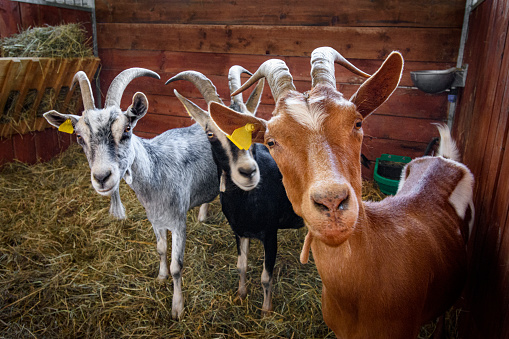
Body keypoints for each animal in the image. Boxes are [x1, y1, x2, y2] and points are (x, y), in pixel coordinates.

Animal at [43, 68, 218, 318]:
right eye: (79, 137)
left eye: (126, 129)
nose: (102, 177)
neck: (157, 170)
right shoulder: (155, 219)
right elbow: (160, 249)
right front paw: (160, 277)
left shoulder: (178, 222)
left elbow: (177, 266)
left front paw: (177, 308)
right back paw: (203, 215)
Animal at [167, 67, 304, 316]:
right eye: (210, 133)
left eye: (253, 128)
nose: (248, 172)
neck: (247, 203)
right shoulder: (239, 231)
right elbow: (241, 266)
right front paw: (241, 294)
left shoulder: (271, 234)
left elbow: (266, 277)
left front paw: (266, 311)